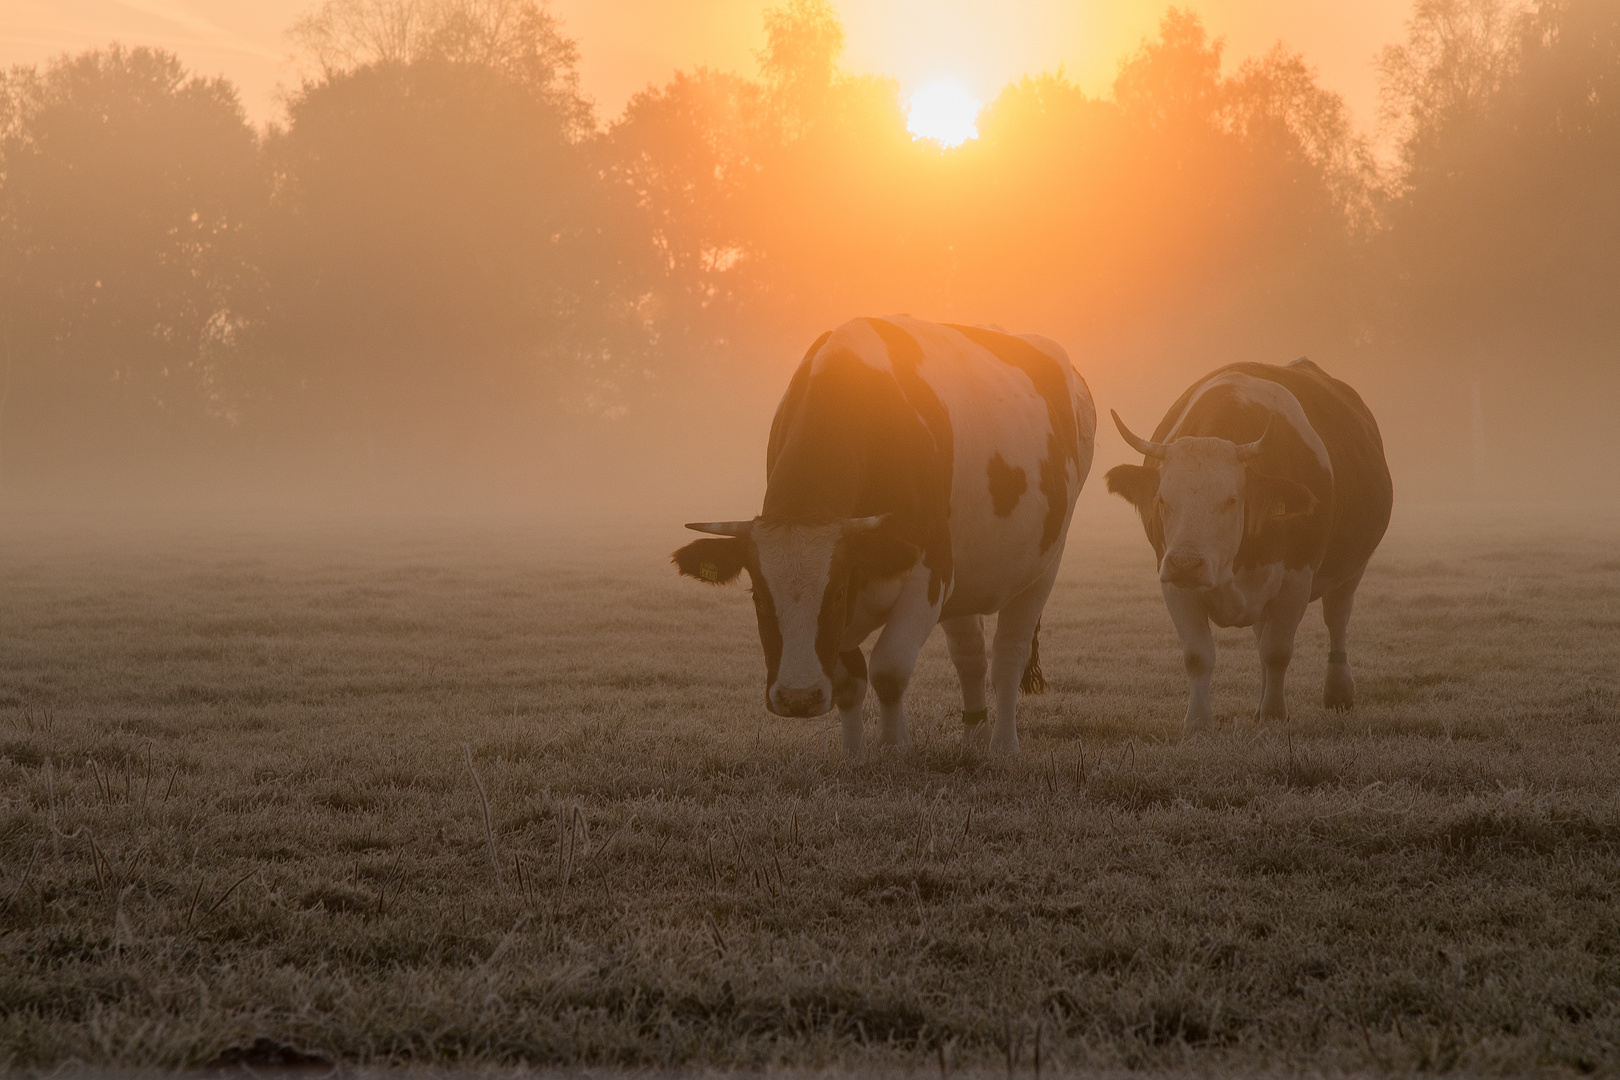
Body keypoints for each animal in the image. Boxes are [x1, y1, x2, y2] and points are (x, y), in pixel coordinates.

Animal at [670, 317, 1101, 764]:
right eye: (757, 596)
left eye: (837, 593)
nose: (797, 697)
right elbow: (849, 682)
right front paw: (854, 752)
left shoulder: (929, 576)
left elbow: (889, 669)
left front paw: (894, 745)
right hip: (967, 577)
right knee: (970, 656)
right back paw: (974, 738)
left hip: (1043, 568)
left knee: (1008, 655)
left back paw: (1002, 744)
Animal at [1108, 362, 1399, 735]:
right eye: (1162, 499)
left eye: (1232, 500)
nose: (1186, 563)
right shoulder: (1172, 581)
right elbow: (1198, 655)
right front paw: (1198, 721)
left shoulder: (1295, 579)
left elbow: (1277, 651)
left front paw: (1274, 715)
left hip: (1351, 568)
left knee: (1337, 619)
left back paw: (1338, 694)